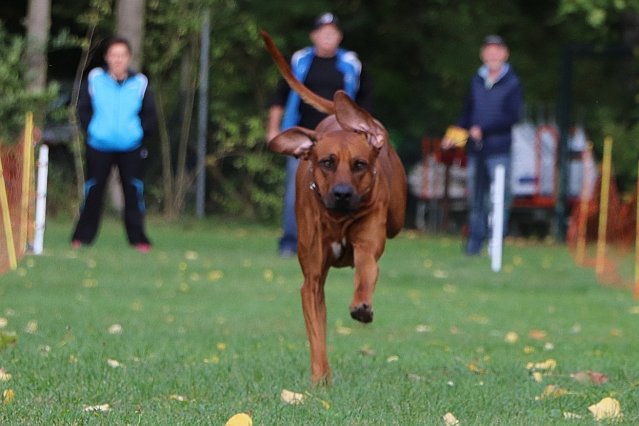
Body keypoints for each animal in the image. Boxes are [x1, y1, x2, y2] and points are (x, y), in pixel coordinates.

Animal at [262, 30, 408, 382]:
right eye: (326, 162)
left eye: (359, 164)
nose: (342, 193)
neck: (338, 218)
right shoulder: (312, 281)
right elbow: (317, 333)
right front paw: (321, 379)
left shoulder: (368, 245)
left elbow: (366, 272)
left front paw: (362, 306)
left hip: (396, 216)